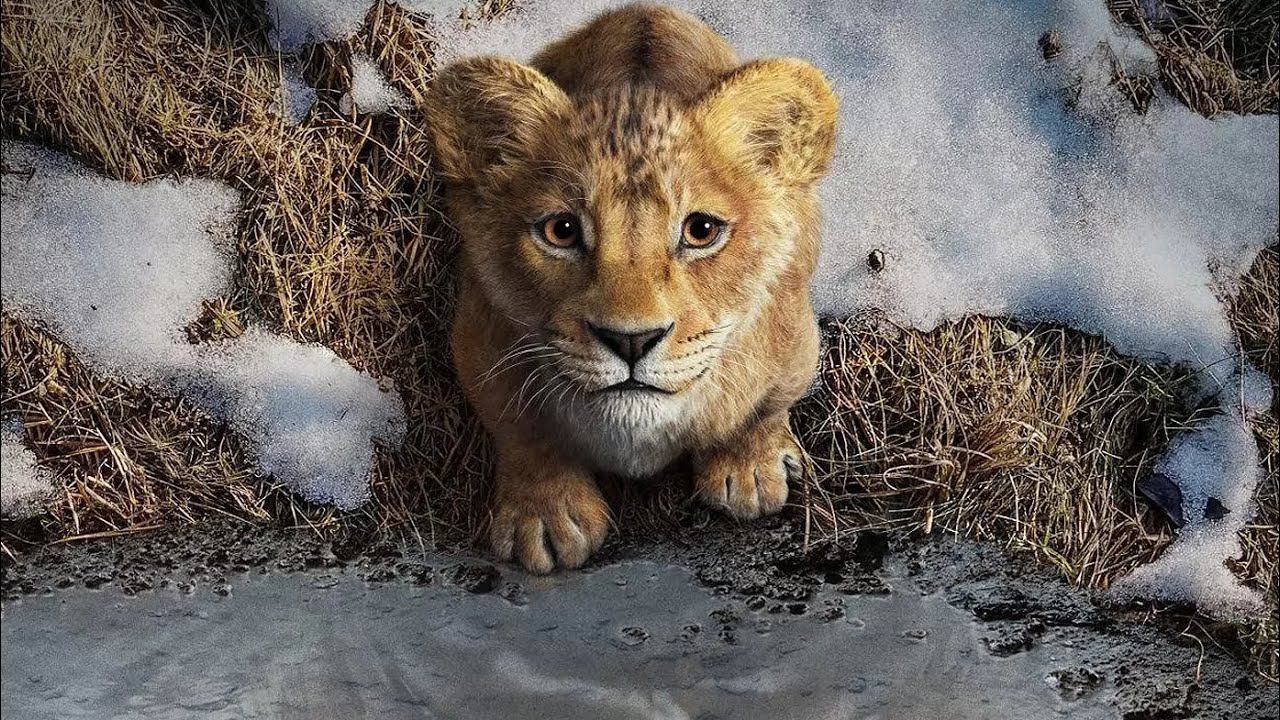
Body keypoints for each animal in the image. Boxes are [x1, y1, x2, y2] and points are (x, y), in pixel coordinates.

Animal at [425, 3, 838, 573]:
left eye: (701, 230)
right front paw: (546, 516)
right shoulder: (479, 338)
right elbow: (521, 429)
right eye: (561, 231)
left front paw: (749, 470)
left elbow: (762, 408)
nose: (631, 340)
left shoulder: (794, 339)